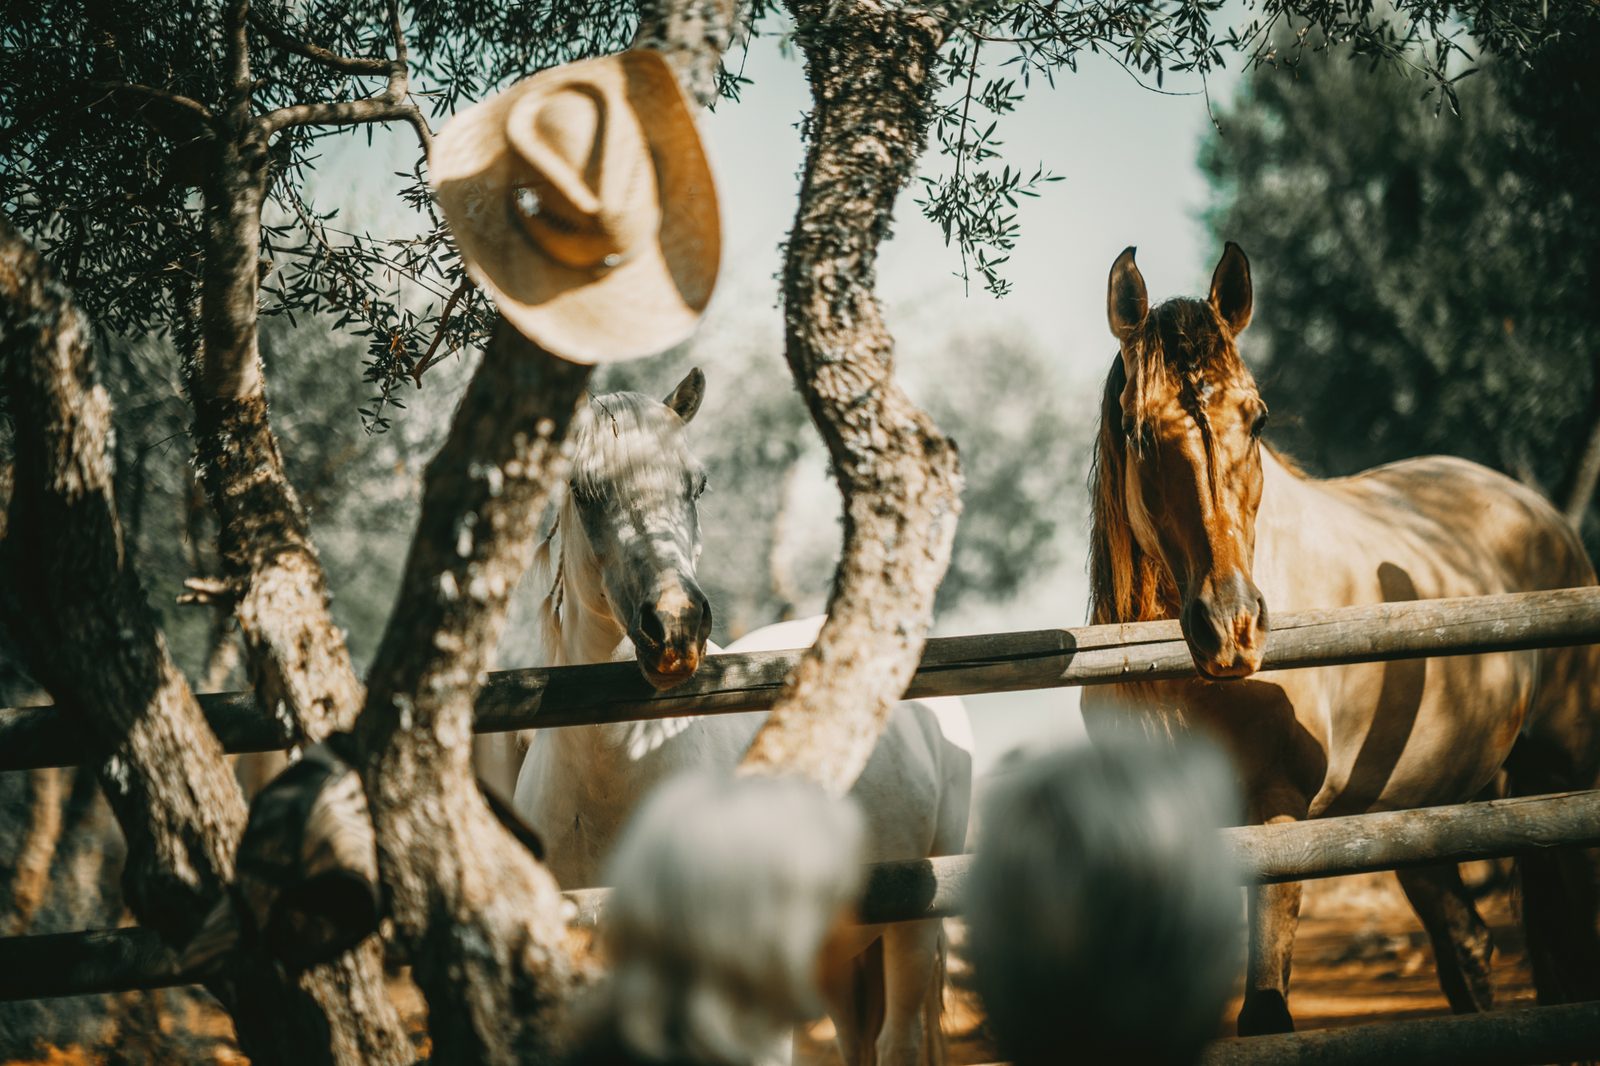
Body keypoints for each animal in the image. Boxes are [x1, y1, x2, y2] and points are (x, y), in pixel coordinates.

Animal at [1082, 242, 1600, 1035]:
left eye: (1258, 419)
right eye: (1139, 431)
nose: (1232, 628)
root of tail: (1541, 514)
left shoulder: (1277, 815)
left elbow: (1266, 1013)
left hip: (1563, 770)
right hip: (1412, 809)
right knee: (1468, 947)